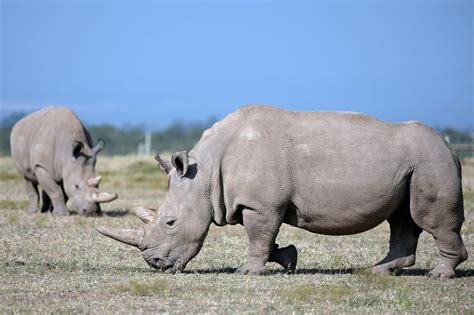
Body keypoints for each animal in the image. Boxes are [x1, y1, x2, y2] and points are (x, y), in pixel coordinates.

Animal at [97, 104, 466, 278]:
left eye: (170, 223)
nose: (156, 265)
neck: (205, 173)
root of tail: (450, 146)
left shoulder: (260, 204)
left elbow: (257, 236)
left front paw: (247, 272)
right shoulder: (262, 204)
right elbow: (266, 238)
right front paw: (288, 259)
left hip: (431, 160)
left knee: (427, 218)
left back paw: (439, 275)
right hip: (413, 165)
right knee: (401, 219)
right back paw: (375, 271)